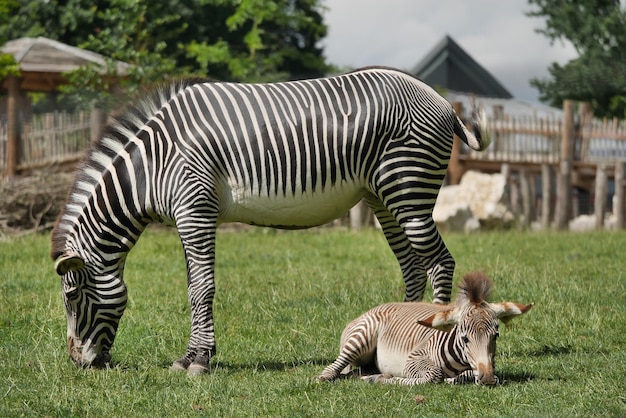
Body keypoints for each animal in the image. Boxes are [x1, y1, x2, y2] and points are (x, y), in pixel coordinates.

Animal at [50, 66, 488, 376]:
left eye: (72, 297)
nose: (77, 364)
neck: (153, 164)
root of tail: (440, 99)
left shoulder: (196, 208)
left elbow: (201, 288)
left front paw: (200, 360)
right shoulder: (186, 216)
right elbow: (193, 286)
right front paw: (189, 356)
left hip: (408, 188)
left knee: (439, 262)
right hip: (382, 197)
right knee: (413, 267)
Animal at [316, 272, 532, 386]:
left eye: (495, 336)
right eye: (465, 339)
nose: (487, 380)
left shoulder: (486, 363)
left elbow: (466, 375)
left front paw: (456, 378)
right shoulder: (413, 358)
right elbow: (433, 375)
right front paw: (389, 379)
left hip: (367, 363)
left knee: (355, 373)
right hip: (360, 338)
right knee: (331, 370)